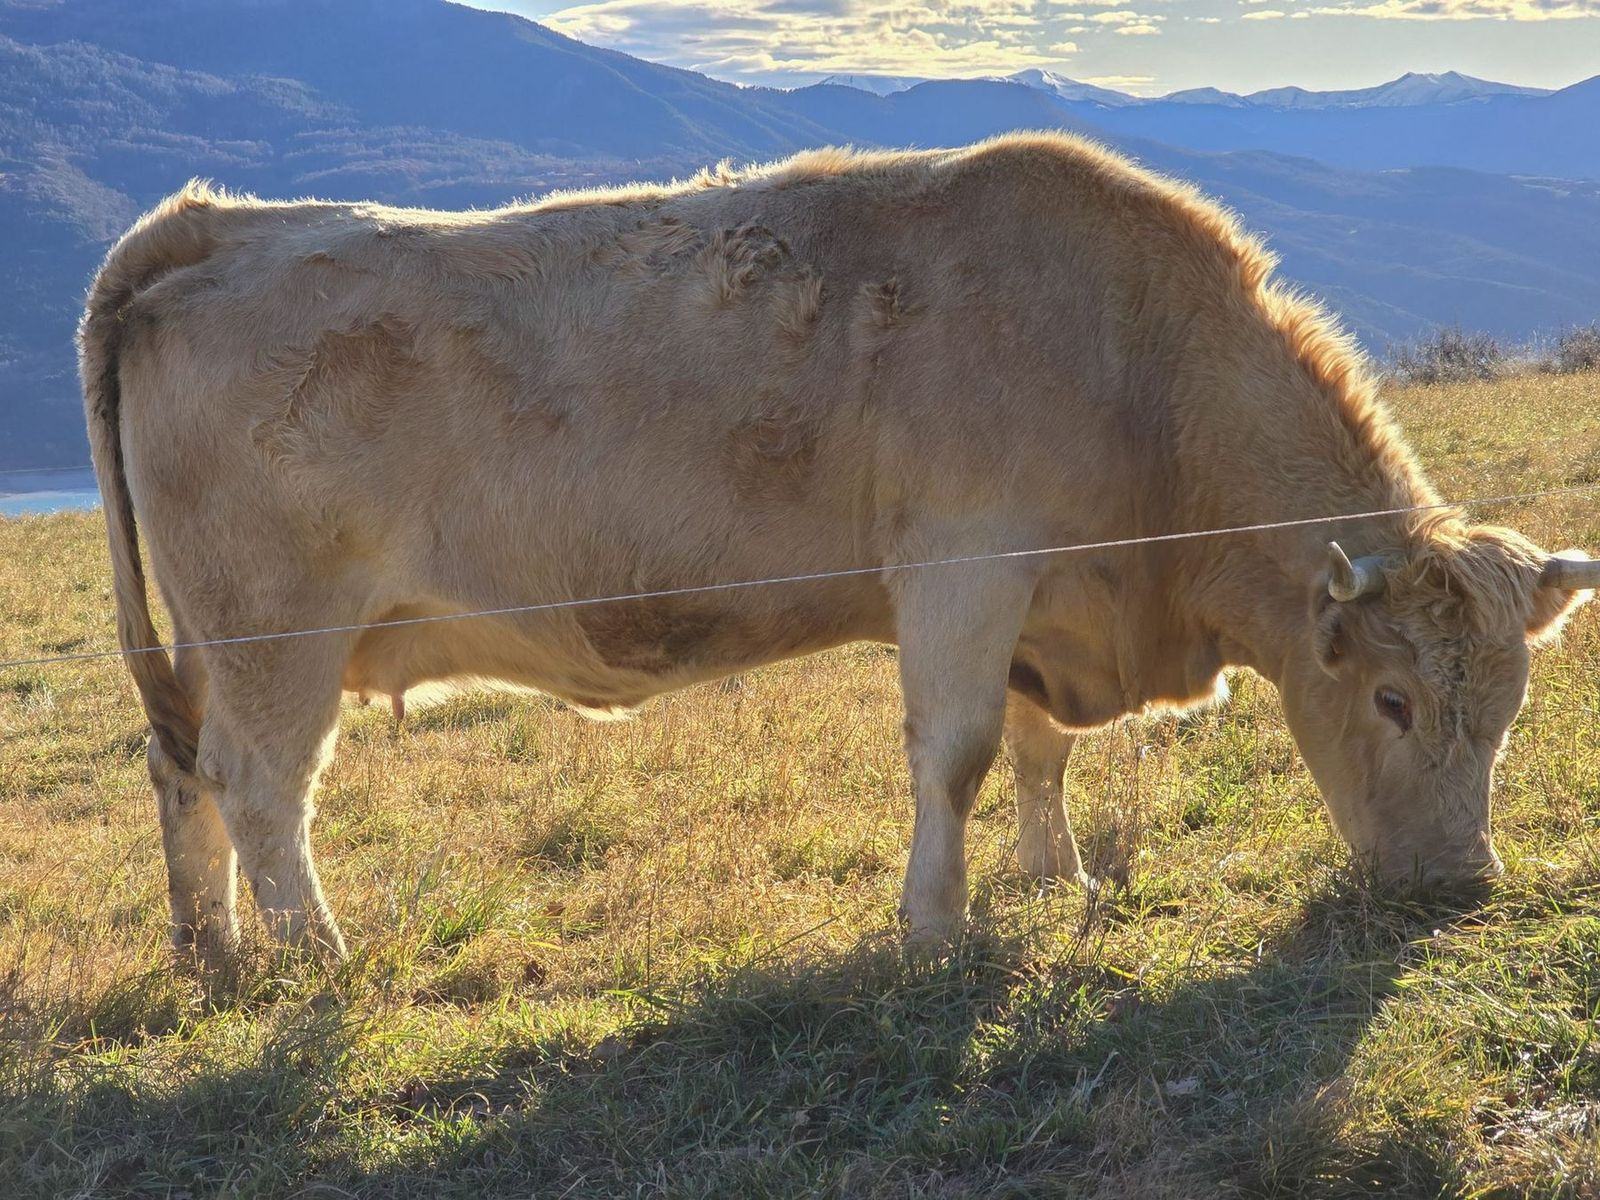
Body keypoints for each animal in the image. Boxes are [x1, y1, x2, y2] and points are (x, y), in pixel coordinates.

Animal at [80, 132, 1597, 967]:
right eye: (1391, 699)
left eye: (1510, 711)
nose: (1461, 888)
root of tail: (210, 225)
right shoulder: (964, 568)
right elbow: (962, 754)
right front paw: (938, 925)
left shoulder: (1043, 600)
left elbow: (1040, 752)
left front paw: (1056, 880)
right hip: (275, 632)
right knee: (262, 787)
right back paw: (316, 959)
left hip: (210, 645)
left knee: (180, 772)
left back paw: (212, 953)